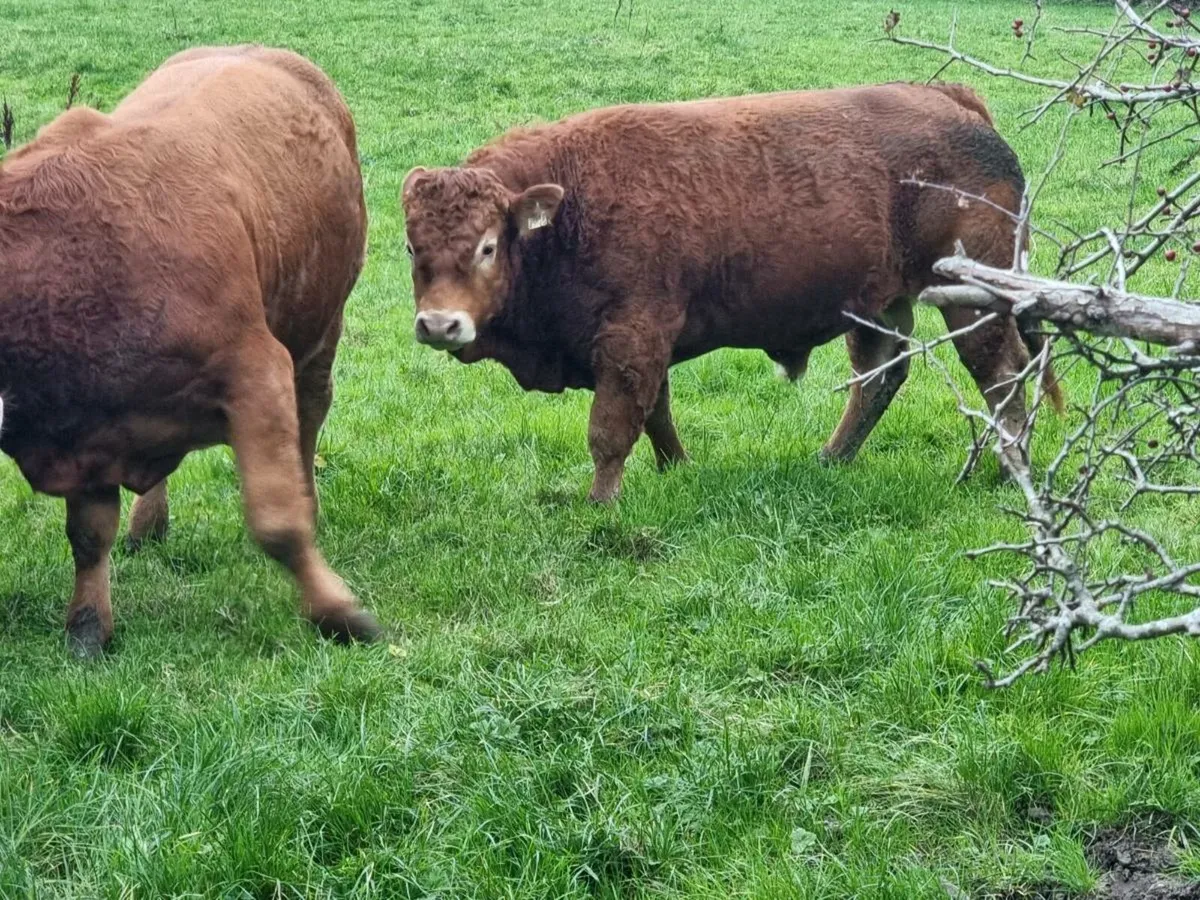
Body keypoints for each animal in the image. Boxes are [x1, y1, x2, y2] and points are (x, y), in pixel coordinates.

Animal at [0, 46, 380, 656]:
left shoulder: (257, 372)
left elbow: (278, 523)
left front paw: (338, 614)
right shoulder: (86, 427)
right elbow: (88, 535)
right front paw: (87, 626)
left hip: (321, 324)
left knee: (311, 415)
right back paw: (148, 522)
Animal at [400, 82, 1062, 503]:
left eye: (488, 246)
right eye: (411, 247)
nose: (439, 325)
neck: (568, 208)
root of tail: (954, 101)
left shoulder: (630, 339)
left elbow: (612, 429)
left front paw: (600, 504)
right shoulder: (646, 345)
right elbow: (656, 414)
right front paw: (676, 470)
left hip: (968, 298)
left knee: (1001, 370)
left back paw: (1011, 470)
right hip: (879, 305)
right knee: (880, 377)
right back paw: (830, 459)